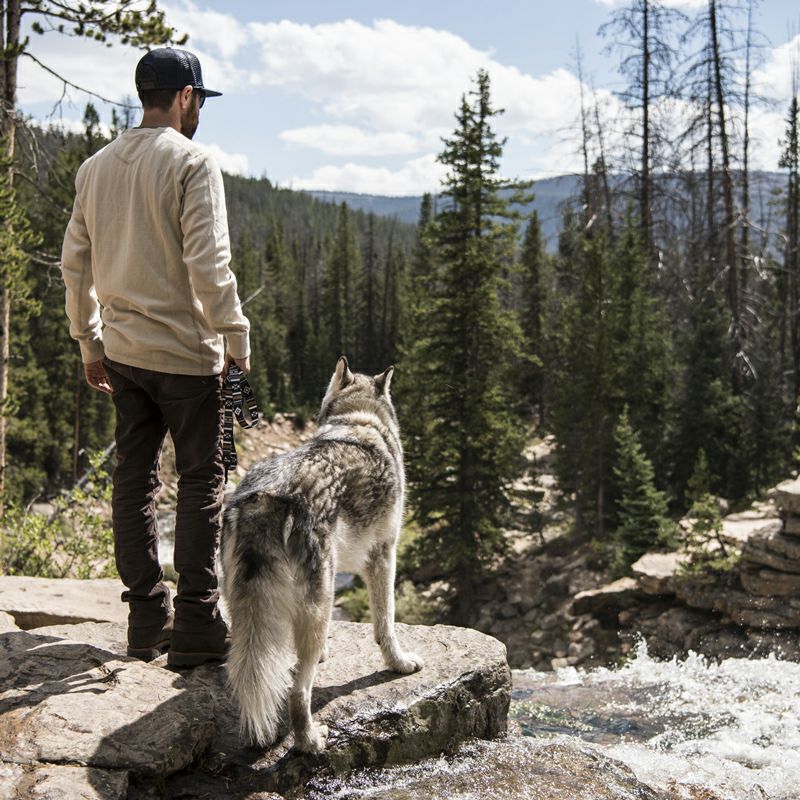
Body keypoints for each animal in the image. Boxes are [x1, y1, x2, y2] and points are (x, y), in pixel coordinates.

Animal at [219, 356, 424, 753]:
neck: (358, 420)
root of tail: (268, 498)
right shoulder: (384, 556)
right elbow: (386, 622)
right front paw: (399, 663)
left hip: (244, 608)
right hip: (320, 599)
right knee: (298, 693)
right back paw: (310, 741)